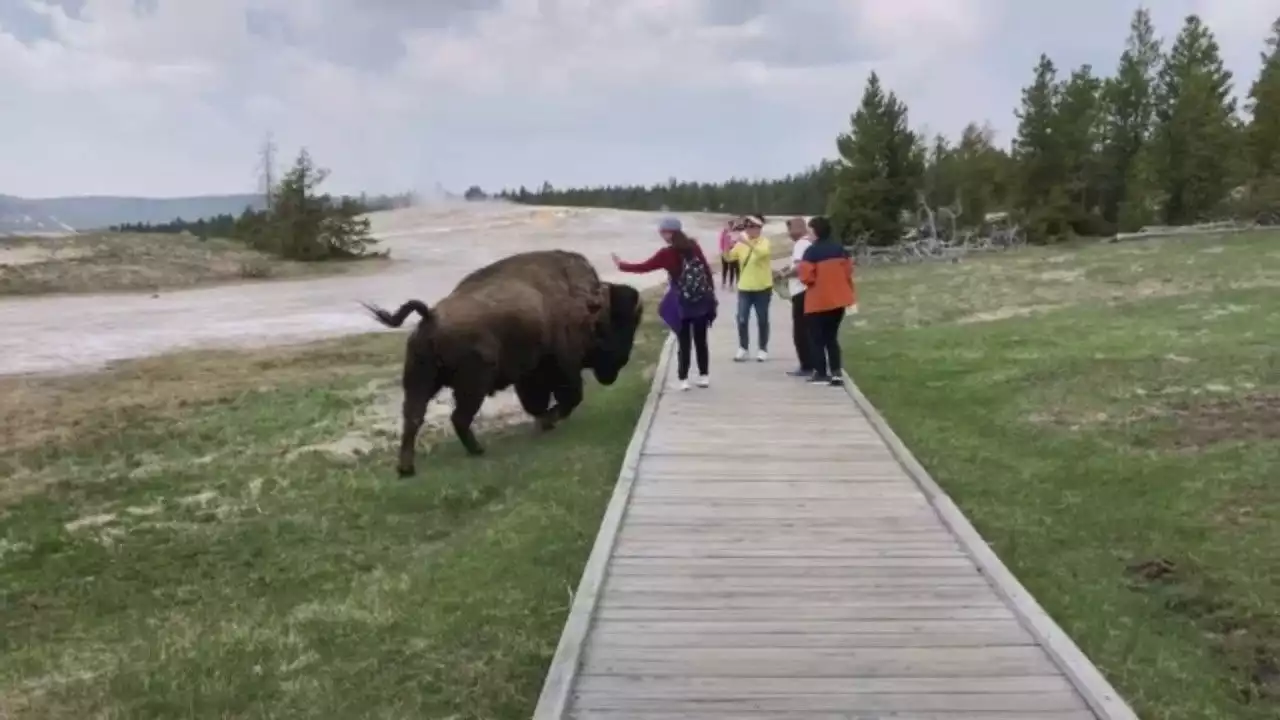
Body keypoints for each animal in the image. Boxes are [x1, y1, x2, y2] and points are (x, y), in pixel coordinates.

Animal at [363, 248, 640, 476]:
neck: (587, 305)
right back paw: (477, 450)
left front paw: (544, 422)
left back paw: (407, 468)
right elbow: (569, 398)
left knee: (414, 417)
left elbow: (539, 403)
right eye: (620, 325)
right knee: (458, 417)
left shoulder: (531, 376)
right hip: (472, 385)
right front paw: (547, 422)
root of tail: (431, 317)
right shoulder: (562, 367)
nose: (622, 362)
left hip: (421, 380)